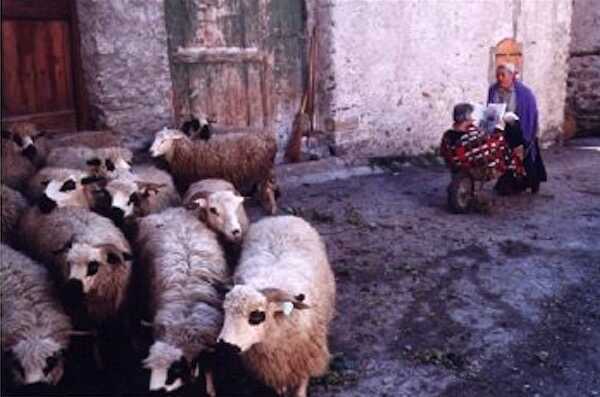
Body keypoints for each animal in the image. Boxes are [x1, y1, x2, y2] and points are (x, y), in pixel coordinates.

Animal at [135, 206, 229, 394]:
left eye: (176, 369)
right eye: (151, 369)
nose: (154, 392)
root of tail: (168, 212)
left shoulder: (207, 343)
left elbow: (208, 368)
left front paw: (210, 390)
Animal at [150, 127, 282, 213]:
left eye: (163, 140)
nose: (150, 151)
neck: (189, 153)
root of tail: (270, 140)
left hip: (263, 169)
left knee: (268, 188)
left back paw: (272, 208)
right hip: (263, 170)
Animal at [217, 217, 338, 396]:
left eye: (257, 315)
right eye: (225, 310)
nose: (226, 346)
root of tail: (280, 217)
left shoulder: (303, 360)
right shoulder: (274, 368)